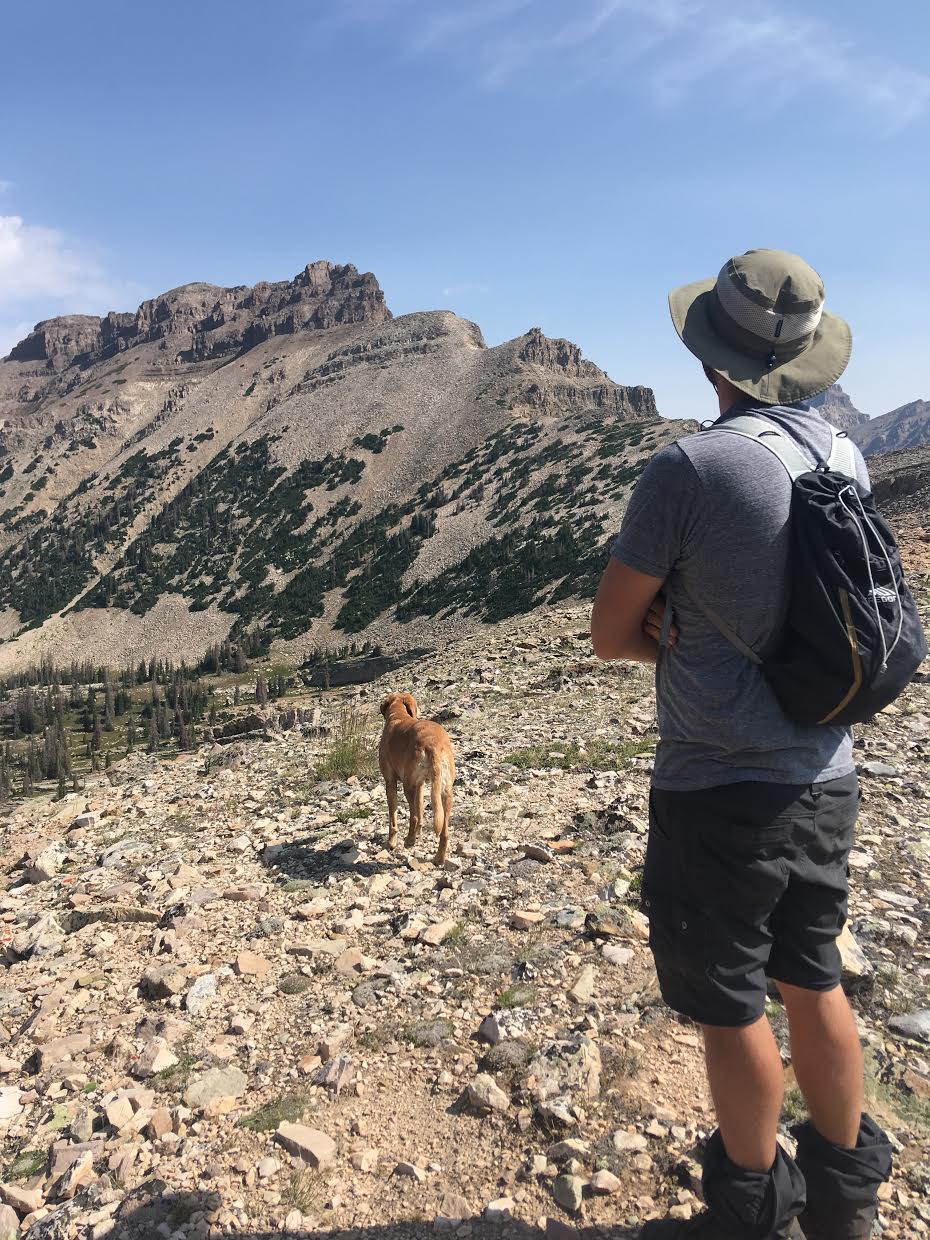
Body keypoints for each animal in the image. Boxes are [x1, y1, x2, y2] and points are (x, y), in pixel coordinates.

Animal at [379, 694, 456, 868]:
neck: (398, 715)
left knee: (412, 816)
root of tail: (433, 744)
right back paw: (439, 858)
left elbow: (393, 817)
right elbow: (420, 808)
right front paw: (419, 833)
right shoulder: (420, 784)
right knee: (444, 830)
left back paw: (409, 841)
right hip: (445, 791)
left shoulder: (391, 781)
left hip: (408, 785)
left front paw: (391, 842)